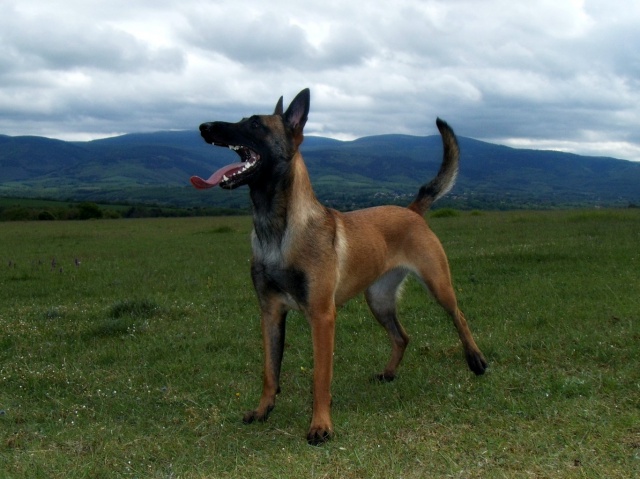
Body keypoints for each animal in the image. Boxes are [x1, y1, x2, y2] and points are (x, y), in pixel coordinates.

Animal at [192, 89, 488, 446]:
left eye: (254, 124)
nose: (204, 127)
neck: (277, 231)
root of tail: (412, 210)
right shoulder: (270, 313)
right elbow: (269, 370)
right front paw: (263, 410)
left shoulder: (322, 317)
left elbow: (320, 376)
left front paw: (321, 425)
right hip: (378, 300)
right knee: (402, 336)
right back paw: (389, 373)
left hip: (437, 284)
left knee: (459, 316)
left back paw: (476, 361)